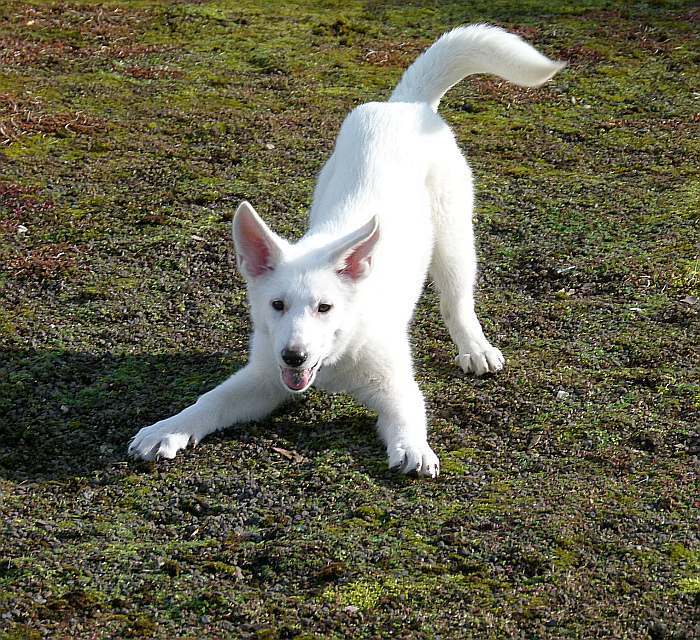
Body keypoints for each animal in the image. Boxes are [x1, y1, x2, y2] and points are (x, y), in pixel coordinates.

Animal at [129, 23, 564, 476]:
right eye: (277, 305)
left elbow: (409, 412)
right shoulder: (264, 378)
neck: (336, 356)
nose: (295, 356)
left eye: (325, 308)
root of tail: (407, 106)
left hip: (454, 239)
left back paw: (475, 348)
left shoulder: (395, 383)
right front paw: (167, 429)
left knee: (457, 303)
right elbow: (210, 400)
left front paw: (414, 447)